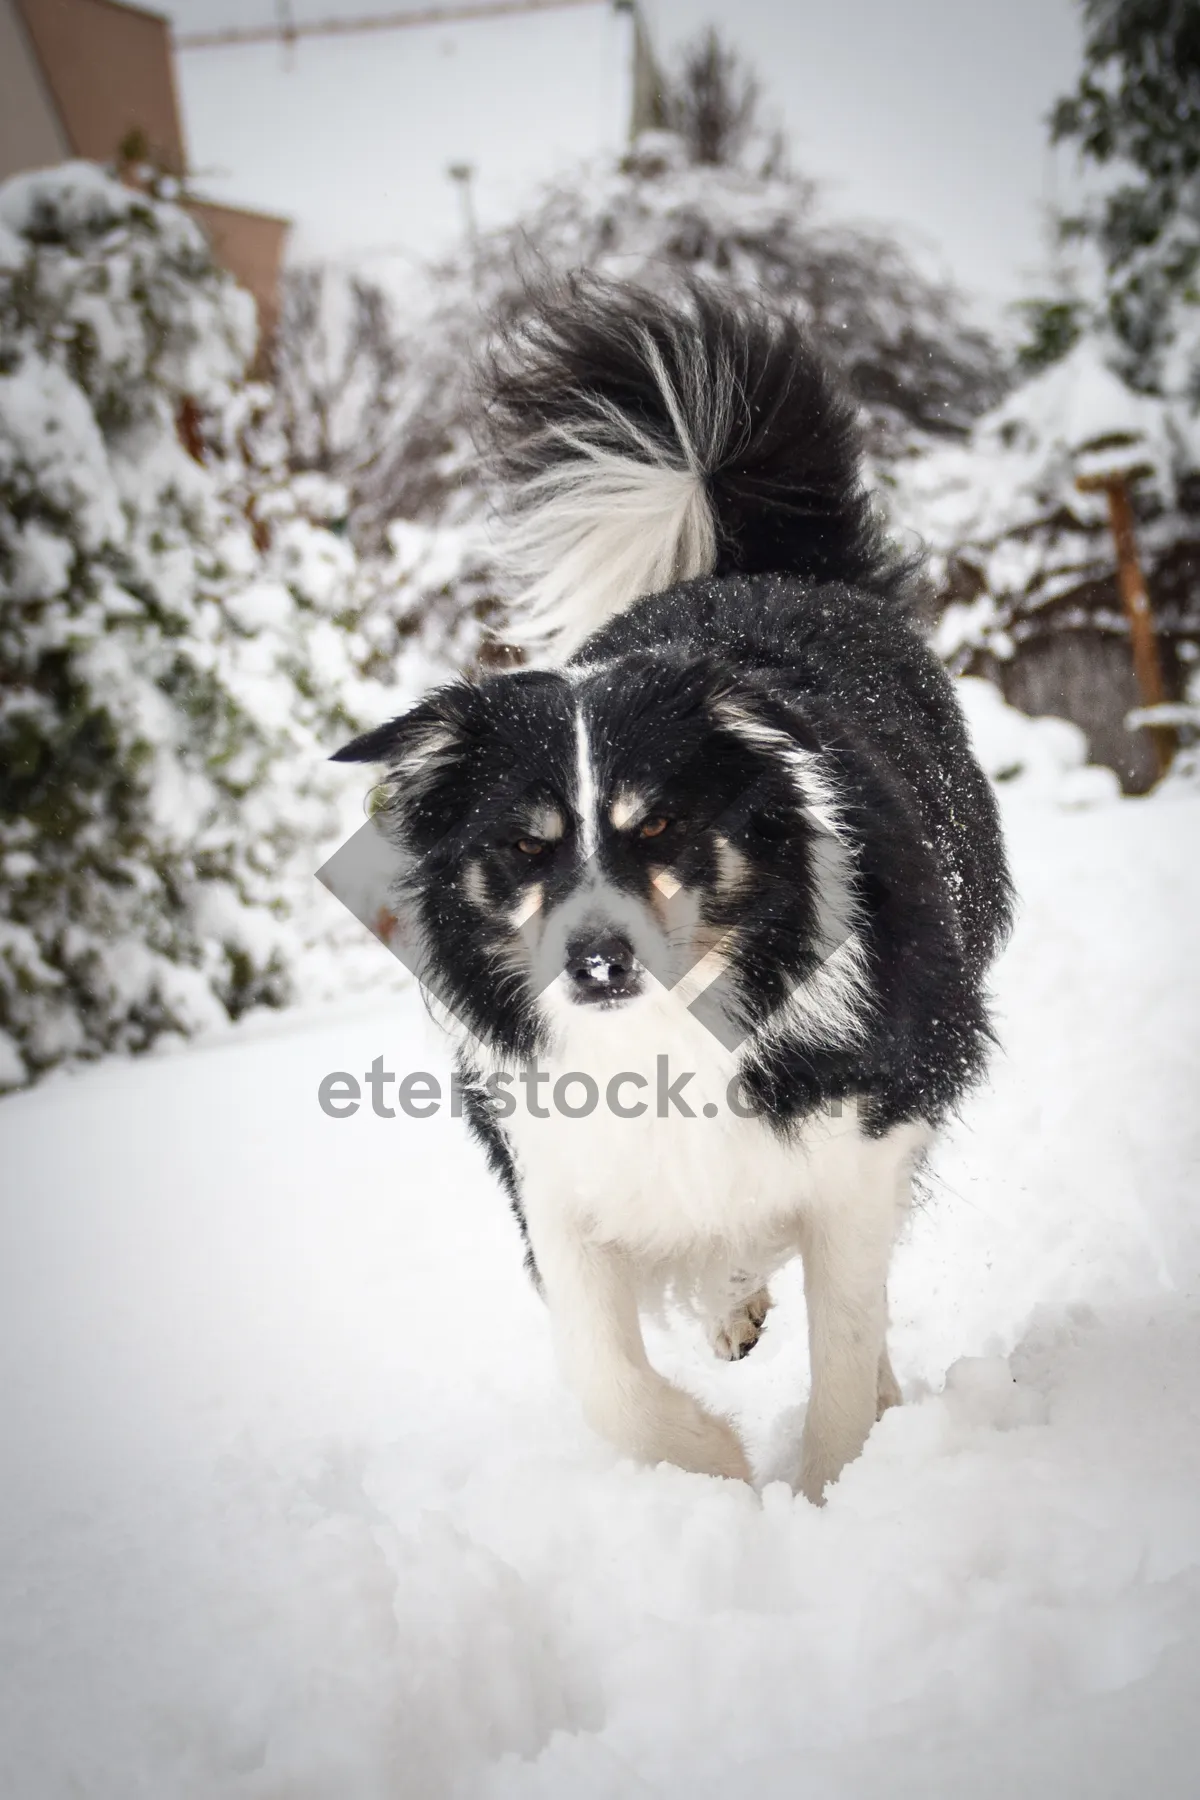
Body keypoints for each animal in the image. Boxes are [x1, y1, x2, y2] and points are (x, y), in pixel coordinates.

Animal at [332, 280, 1007, 1504]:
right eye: (526, 845)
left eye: (657, 826)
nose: (597, 960)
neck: (664, 1026)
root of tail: (758, 564)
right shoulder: (557, 1166)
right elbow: (606, 1375)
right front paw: (711, 1470)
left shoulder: (865, 1124)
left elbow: (847, 1338)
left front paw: (835, 1493)